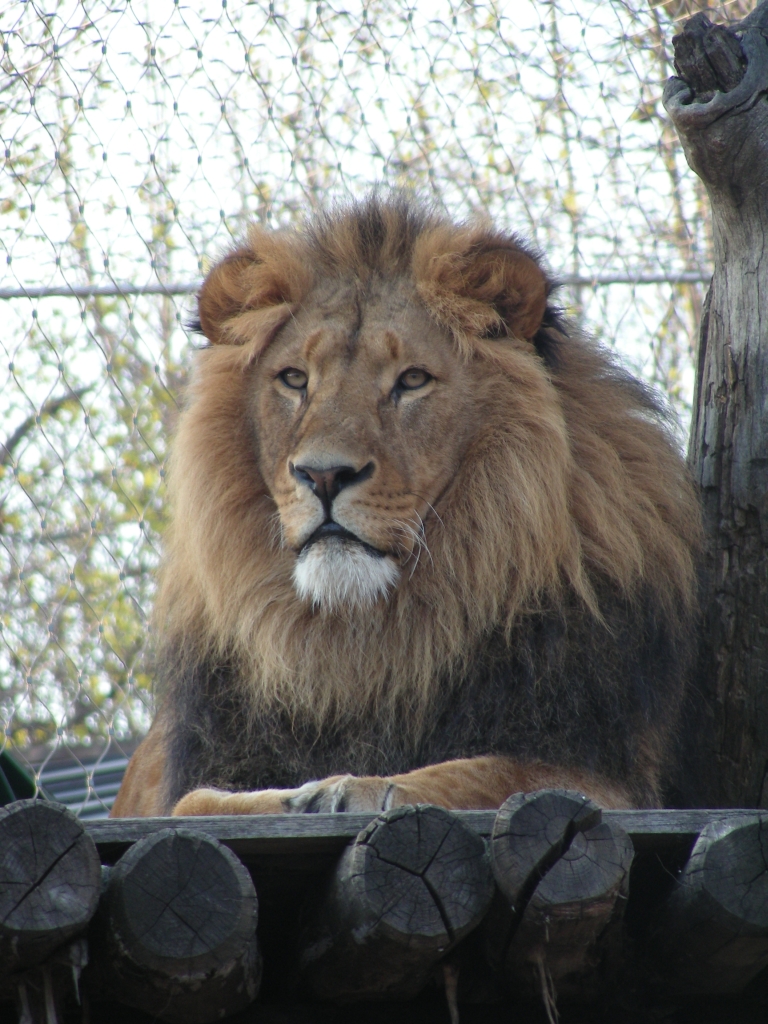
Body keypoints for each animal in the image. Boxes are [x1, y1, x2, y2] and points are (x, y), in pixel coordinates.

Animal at [112, 192, 704, 819]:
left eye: (412, 379)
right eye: (294, 379)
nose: (324, 474)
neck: (374, 640)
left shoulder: (608, 776)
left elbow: (471, 776)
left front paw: (339, 790)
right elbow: (198, 800)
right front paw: (297, 796)